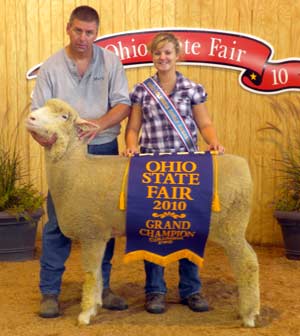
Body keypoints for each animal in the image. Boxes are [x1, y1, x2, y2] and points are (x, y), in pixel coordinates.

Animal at [25, 98, 260, 326]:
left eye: (64, 116)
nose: (31, 117)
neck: (76, 169)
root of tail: (243, 166)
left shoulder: (92, 232)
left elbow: (91, 274)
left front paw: (86, 313)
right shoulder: (100, 234)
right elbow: (99, 274)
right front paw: (97, 305)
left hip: (231, 227)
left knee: (247, 263)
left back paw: (249, 315)